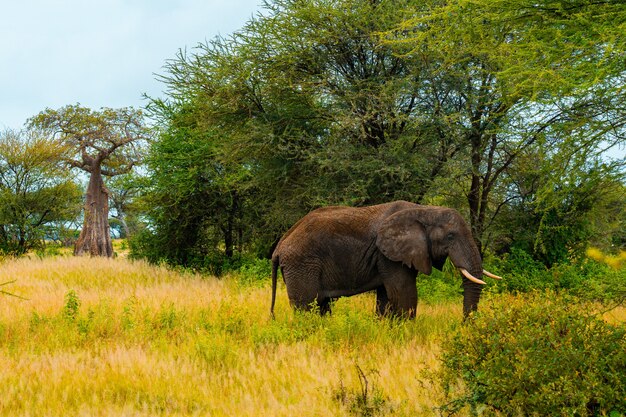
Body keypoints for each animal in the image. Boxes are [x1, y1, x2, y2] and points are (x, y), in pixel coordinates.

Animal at [270, 200, 500, 316]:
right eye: (450, 236)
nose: (464, 325)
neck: (424, 209)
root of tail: (279, 246)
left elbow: (386, 297)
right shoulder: (389, 254)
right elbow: (403, 294)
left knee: (321, 306)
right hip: (301, 263)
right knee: (307, 306)